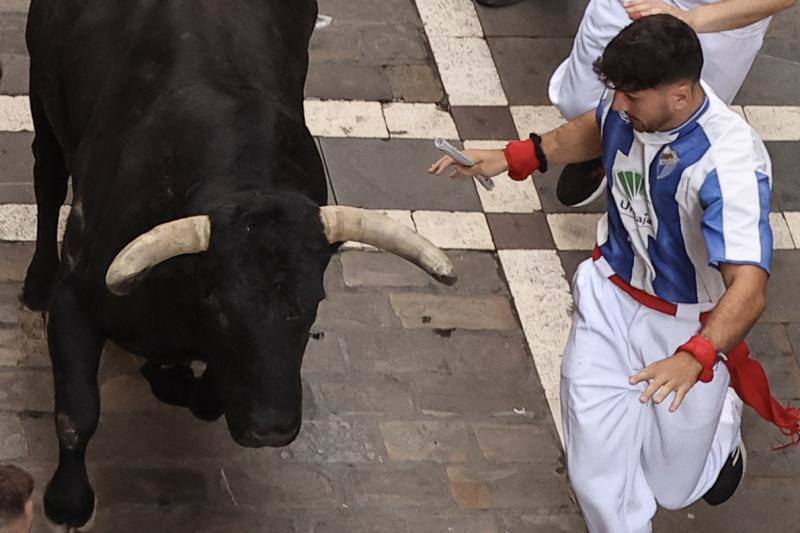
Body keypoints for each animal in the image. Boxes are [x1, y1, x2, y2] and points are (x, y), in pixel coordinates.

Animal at [23, 0, 456, 528]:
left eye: (313, 304)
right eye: (218, 304)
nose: (271, 429)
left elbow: (205, 397)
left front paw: (174, 378)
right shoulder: (76, 298)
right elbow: (77, 412)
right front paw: (67, 500)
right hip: (40, 90)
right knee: (47, 174)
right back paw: (36, 282)